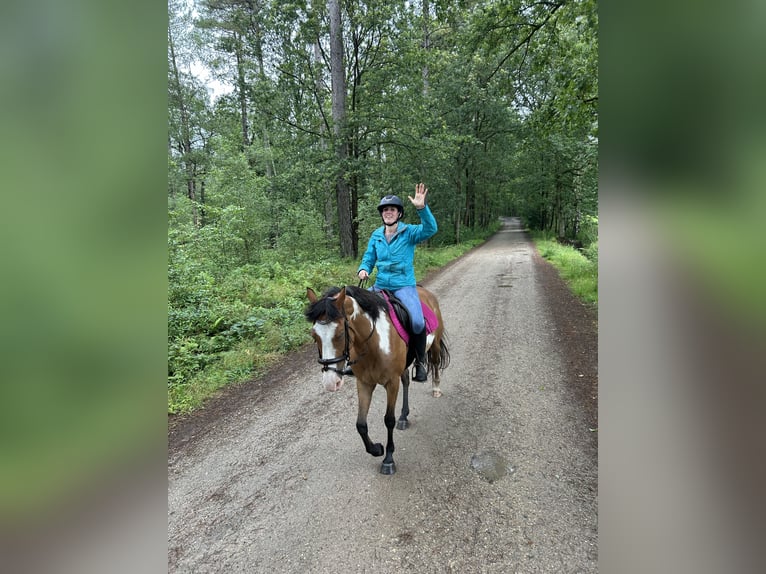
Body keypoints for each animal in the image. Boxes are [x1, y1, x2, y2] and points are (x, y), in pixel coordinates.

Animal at [306, 284, 450, 476]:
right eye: (314, 336)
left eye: (340, 334)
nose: (330, 383)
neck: (372, 344)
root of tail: (425, 292)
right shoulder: (364, 383)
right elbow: (360, 424)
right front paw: (376, 449)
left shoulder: (391, 383)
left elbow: (388, 420)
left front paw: (388, 459)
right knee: (406, 381)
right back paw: (404, 417)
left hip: (434, 345)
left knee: (434, 363)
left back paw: (435, 388)